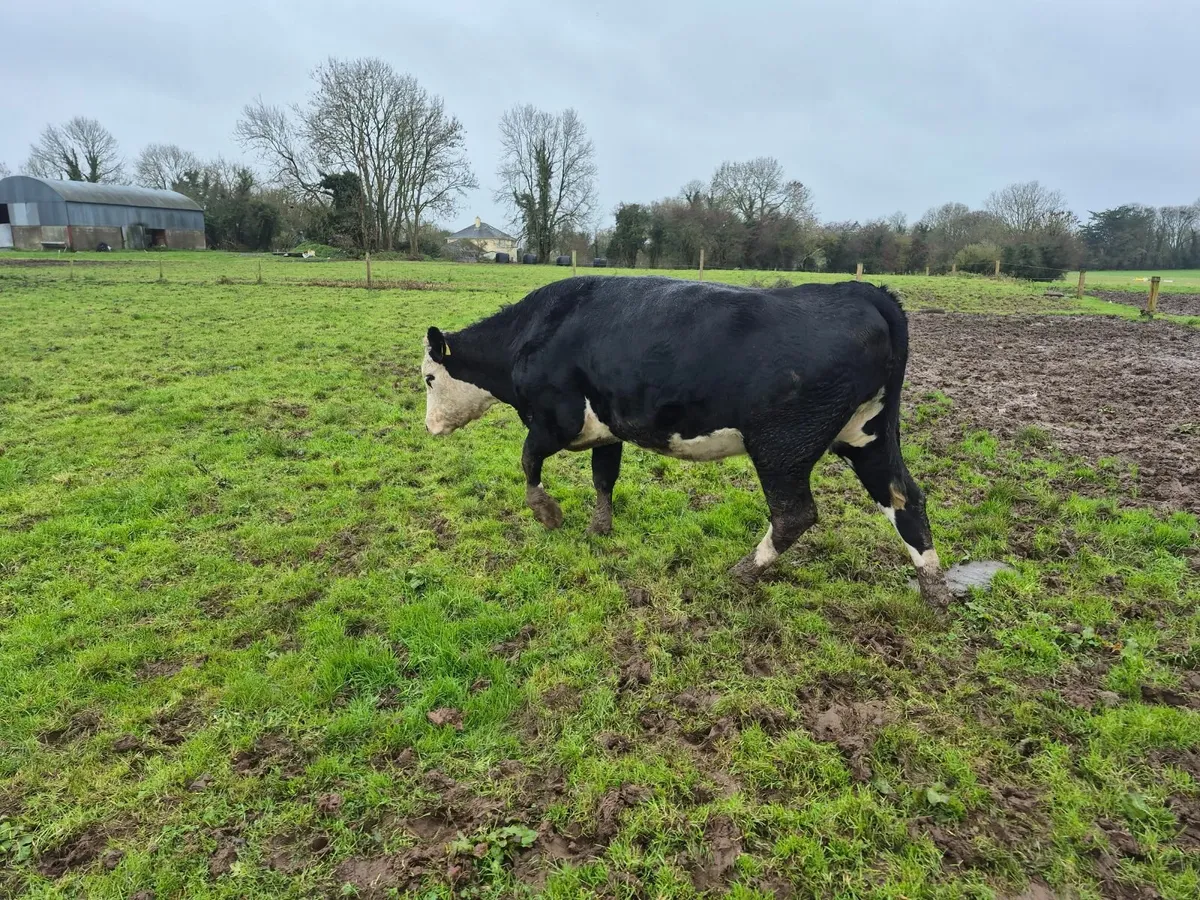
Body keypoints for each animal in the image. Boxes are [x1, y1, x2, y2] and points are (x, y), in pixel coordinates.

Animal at [420, 275, 953, 609]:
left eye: (428, 378)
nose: (428, 428)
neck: (532, 334)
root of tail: (861, 292)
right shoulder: (605, 428)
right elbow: (603, 478)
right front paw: (599, 528)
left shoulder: (557, 420)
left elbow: (528, 461)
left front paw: (547, 513)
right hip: (868, 435)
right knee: (905, 498)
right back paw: (934, 590)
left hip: (782, 447)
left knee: (795, 515)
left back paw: (742, 572)